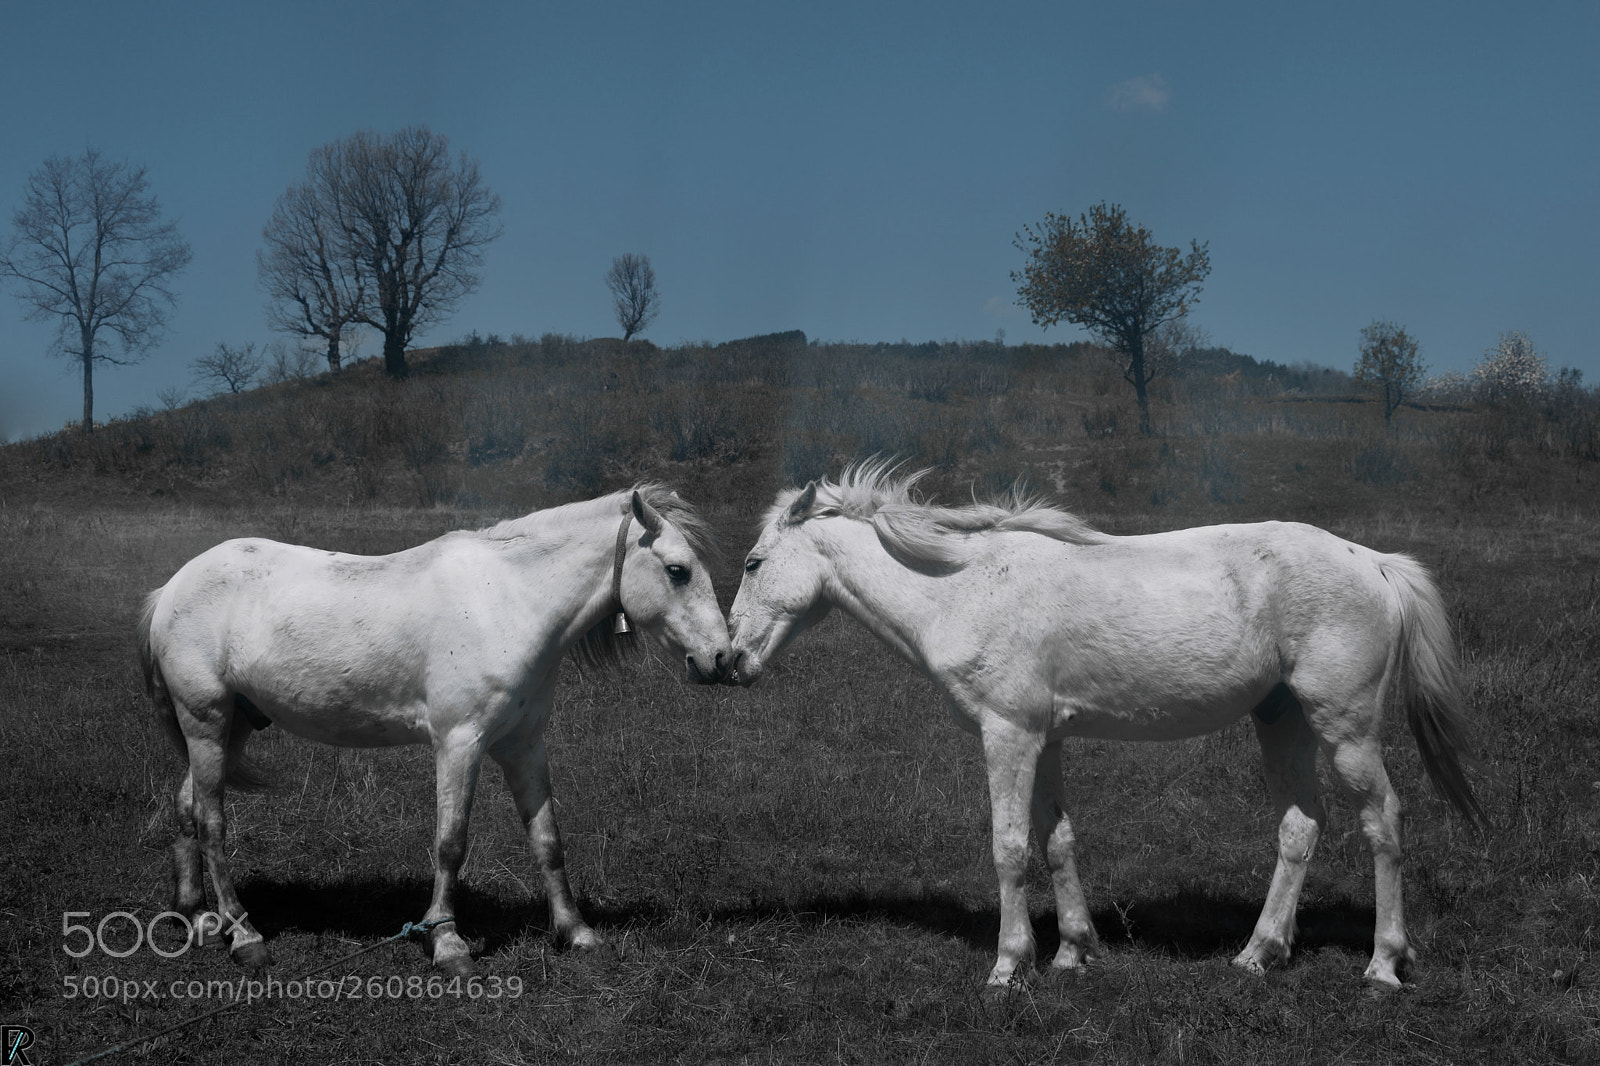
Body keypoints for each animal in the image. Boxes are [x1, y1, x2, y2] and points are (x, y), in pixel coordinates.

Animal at [138, 484, 730, 975]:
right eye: (678, 570)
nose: (722, 659)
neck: (507, 599)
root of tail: (171, 589)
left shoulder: (523, 745)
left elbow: (547, 839)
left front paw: (576, 933)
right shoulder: (459, 743)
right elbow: (451, 843)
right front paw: (446, 944)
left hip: (230, 727)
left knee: (188, 806)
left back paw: (198, 918)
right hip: (207, 723)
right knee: (212, 822)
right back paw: (244, 936)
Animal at [727, 460, 1482, 989]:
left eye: (753, 562)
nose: (728, 659)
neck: (964, 587)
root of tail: (1375, 564)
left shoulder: (1008, 735)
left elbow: (1009, 847)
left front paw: (1009, 967)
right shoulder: (1046, 740)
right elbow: (1057, 840)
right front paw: (1073, 952)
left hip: (1345, 729)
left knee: (1383, 821)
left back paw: (1383, 965)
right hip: (1283, 720)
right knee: (1300, 828)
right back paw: (1259, 953)